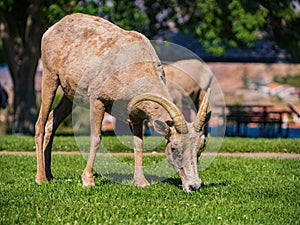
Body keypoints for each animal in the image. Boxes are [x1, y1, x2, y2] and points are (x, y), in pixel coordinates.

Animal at [35, 13, 211, 192]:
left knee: (51, 123)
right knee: (40, 124)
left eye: (200, 148)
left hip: (69, 97)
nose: (193, 185)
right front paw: (88, 180)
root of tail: (52, 29)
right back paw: (40, 178)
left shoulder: (136, 116)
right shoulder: (97, 101)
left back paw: (50, 175)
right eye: (174, 148)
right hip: (50, 77)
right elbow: (96, 138)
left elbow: (138, 144)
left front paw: (141, 182)